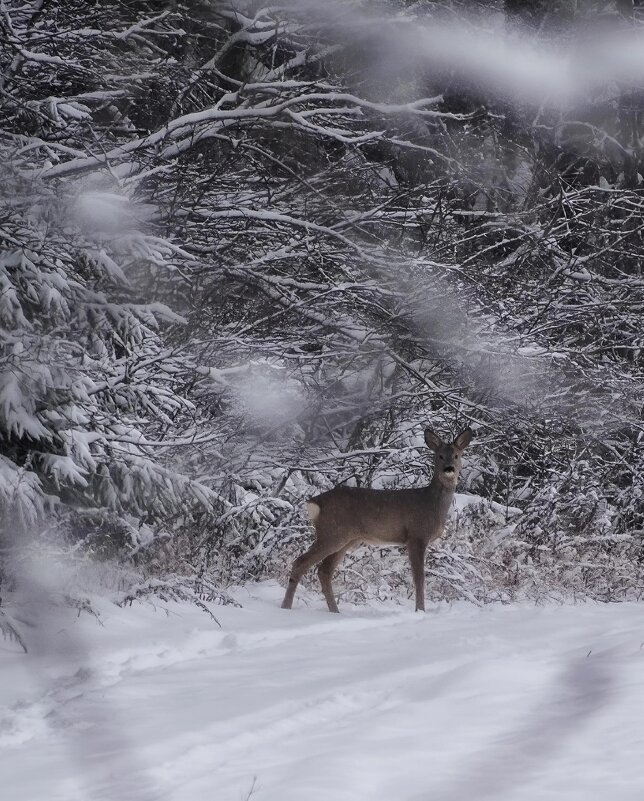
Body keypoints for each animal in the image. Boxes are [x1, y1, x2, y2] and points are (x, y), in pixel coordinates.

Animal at [282, 424, 472, 612]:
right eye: (440, 456)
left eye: (457, 455)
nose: (449, 469)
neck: (432, 504)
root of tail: (314, 502)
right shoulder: (416, 536)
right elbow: (419, 578)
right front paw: (420, 611)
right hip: (331, 533)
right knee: (301, 562)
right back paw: (286, 607)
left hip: (346, 539)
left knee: (324, 570)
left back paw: (335, 611)